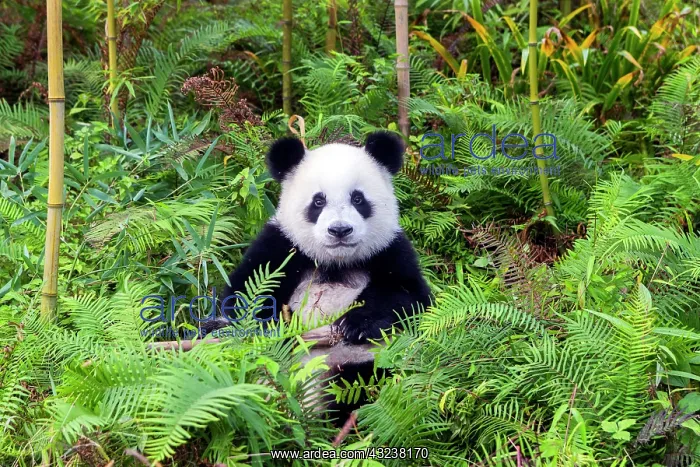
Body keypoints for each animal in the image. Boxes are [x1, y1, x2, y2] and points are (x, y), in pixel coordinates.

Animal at [207, 131, 431, 419]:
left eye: (358, 199)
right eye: (318, 201)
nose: (340, 230)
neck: (335, 263)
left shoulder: (389, 250)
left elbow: (411, 298)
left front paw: (356, 324)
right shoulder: (280, 247)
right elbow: (242, 297)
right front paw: (278, 327)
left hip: (363, 364)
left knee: (359, 384)